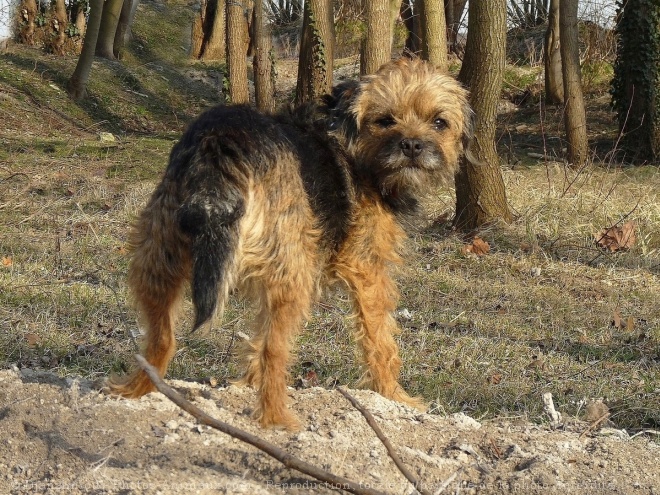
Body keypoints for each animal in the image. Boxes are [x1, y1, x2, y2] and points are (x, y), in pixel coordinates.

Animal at [109, 57, 470, 430]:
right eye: (385, 120)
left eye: (439, 122)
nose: (412, 146)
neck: (352, 143)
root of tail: (221, 140)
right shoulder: (367, 270)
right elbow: (380, 340)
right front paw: (394, 396)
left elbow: (254, 342)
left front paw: (246, 381)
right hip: (292, 276)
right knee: (275, 350)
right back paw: (276, 419)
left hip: (157, 257)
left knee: (161, 338)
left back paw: (137, 390)